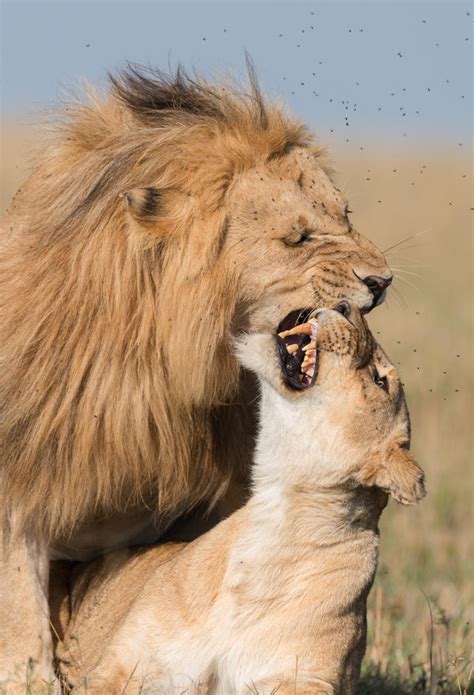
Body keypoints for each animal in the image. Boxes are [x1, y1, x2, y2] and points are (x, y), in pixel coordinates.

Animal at [0, 64, 392, 689]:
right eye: (298, 237)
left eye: (346, 216)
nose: (381, 281)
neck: (147, 368)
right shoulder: (28, 466)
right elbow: (19, 588)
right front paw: (28, 678)